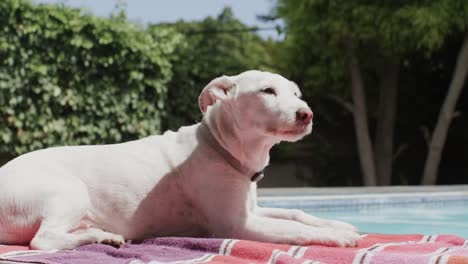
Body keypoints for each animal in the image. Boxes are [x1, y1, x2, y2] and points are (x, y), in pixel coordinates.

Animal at [0, 70, 360, 250]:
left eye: (297, 95)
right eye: (267, 91)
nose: (306, 114)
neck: (222, 146)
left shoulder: (252, 210)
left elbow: (296, 214)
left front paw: (337, 224)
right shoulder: (239, 224)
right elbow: (291, 229)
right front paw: (337, 237)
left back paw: (100, 234)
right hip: (68, 192)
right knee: (43, 240)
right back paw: (96, 237)